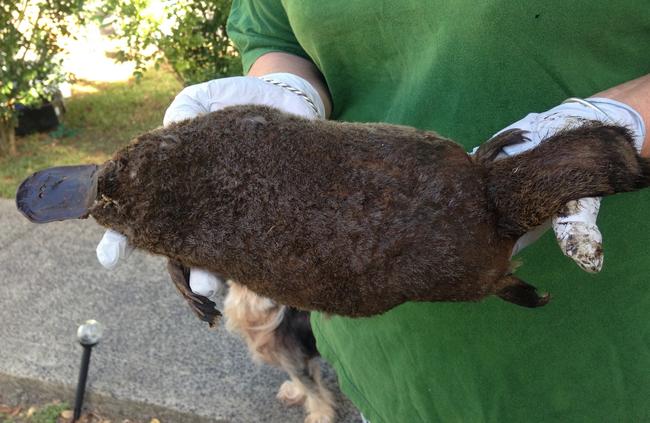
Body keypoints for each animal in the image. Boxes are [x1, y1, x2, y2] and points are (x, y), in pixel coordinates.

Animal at [223, 282, 334, 423]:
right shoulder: (293, 360)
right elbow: (300, 380)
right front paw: (296, 392)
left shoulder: (297, 361)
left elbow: (313, 390)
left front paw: (320, 416)